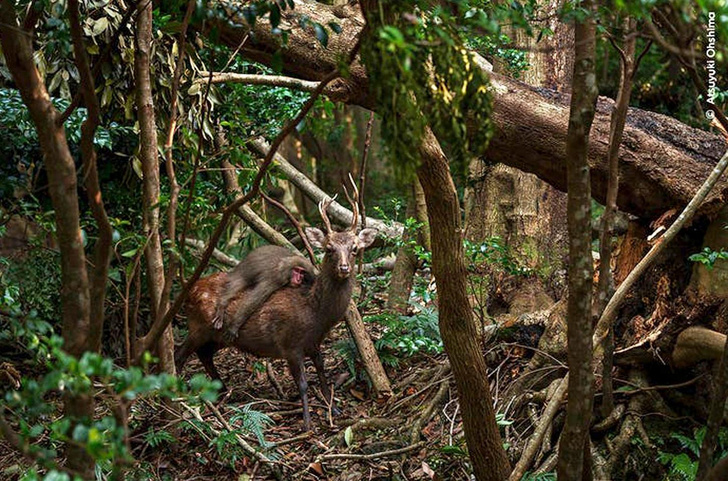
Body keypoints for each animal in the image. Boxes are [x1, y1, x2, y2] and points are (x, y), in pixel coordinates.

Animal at [176, 192, 376, 428]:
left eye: (355, 249)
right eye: (329, 249)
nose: (344, 268)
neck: (316, 316)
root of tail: (188, 291)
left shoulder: (314, 343)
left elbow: (322, 373)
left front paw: (334, 409)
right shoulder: (289, 344)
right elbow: (303, 384)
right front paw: (307, 424)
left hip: (219, 337)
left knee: (204, 354)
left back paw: (222, 390)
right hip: (197, 327)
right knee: (179, 354)